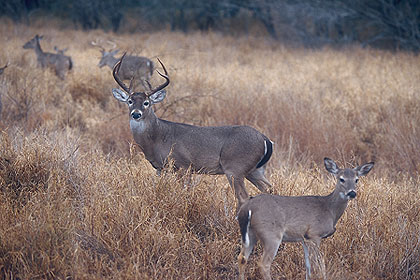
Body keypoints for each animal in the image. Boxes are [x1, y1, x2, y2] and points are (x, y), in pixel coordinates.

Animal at [111, 54, 274, 208]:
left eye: (146, 103)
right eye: (130, 101)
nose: (136, 114)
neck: (158, 137)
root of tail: (266, 140)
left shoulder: (184, 165)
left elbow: (185, 193)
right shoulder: (160, 168)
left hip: (235, 167)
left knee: (244, 197)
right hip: (255, 170)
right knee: (269, 188)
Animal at [236, 158, 374, 280]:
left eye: (356, 180)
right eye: (341, 179)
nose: (352, 193)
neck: (329, 210)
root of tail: (247, 208)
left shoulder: (304, 239)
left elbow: (308, 266)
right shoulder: (314, 235)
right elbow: (319, 265)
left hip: (251, 233)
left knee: (242, 258)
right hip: (271, 234)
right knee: (263, 264)